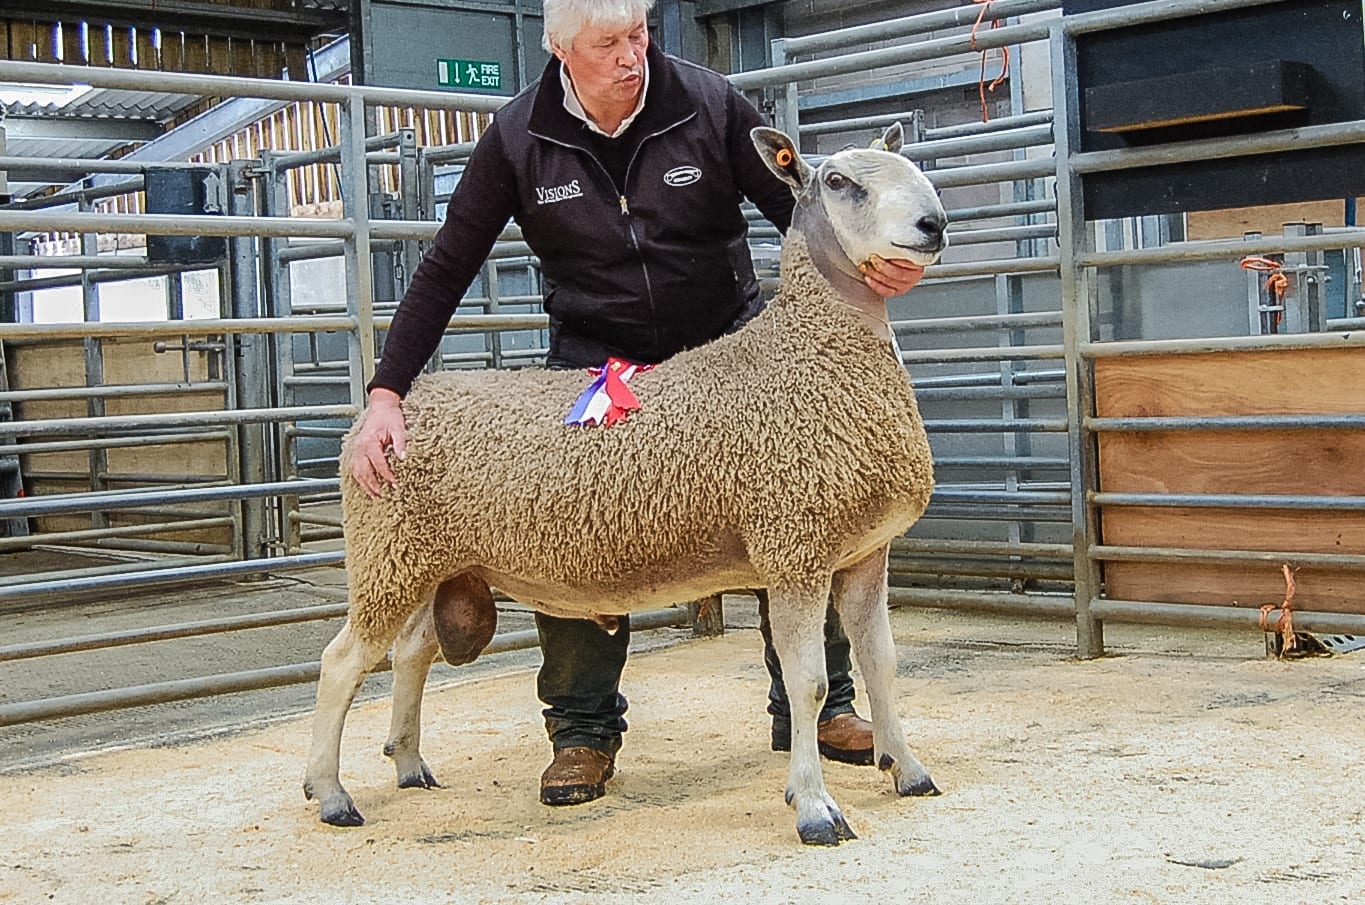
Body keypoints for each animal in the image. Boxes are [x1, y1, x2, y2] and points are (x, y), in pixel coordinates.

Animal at [308, 124, 950, 846]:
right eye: (839, 182)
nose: (932, 225)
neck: (809, 354)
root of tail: (388, 411)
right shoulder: (794, 549)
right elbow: (808, 683)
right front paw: (814, 807)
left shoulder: (863, 551)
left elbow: (880, 663)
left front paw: (907, 769)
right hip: (386, 556)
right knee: (340, 662)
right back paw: (330, 794)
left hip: (428, 560)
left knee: (410, 652)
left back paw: (409, 761)